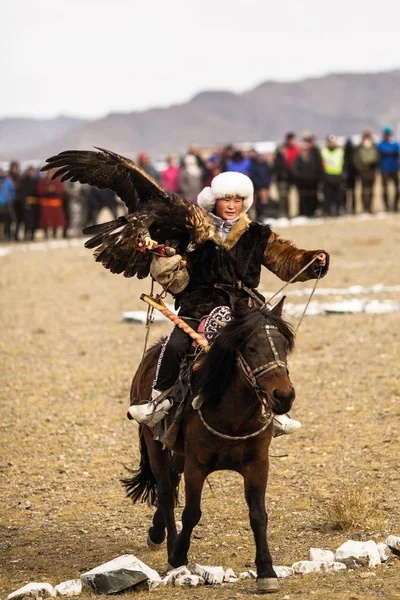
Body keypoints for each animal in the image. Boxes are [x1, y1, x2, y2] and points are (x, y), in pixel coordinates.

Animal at [123, 300, 296, 596]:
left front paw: (266, 571)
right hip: (154, 441)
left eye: (284, 345)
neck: (232, 414)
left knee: (171, 480)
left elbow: (258, 515)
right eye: (251, 348)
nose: (283, 396)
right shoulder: (197, 465)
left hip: (176, 450)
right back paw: (167, 543)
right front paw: (178, 557)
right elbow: (192, 512)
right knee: (166, 492)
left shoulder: (258, 464)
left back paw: (157, 532)